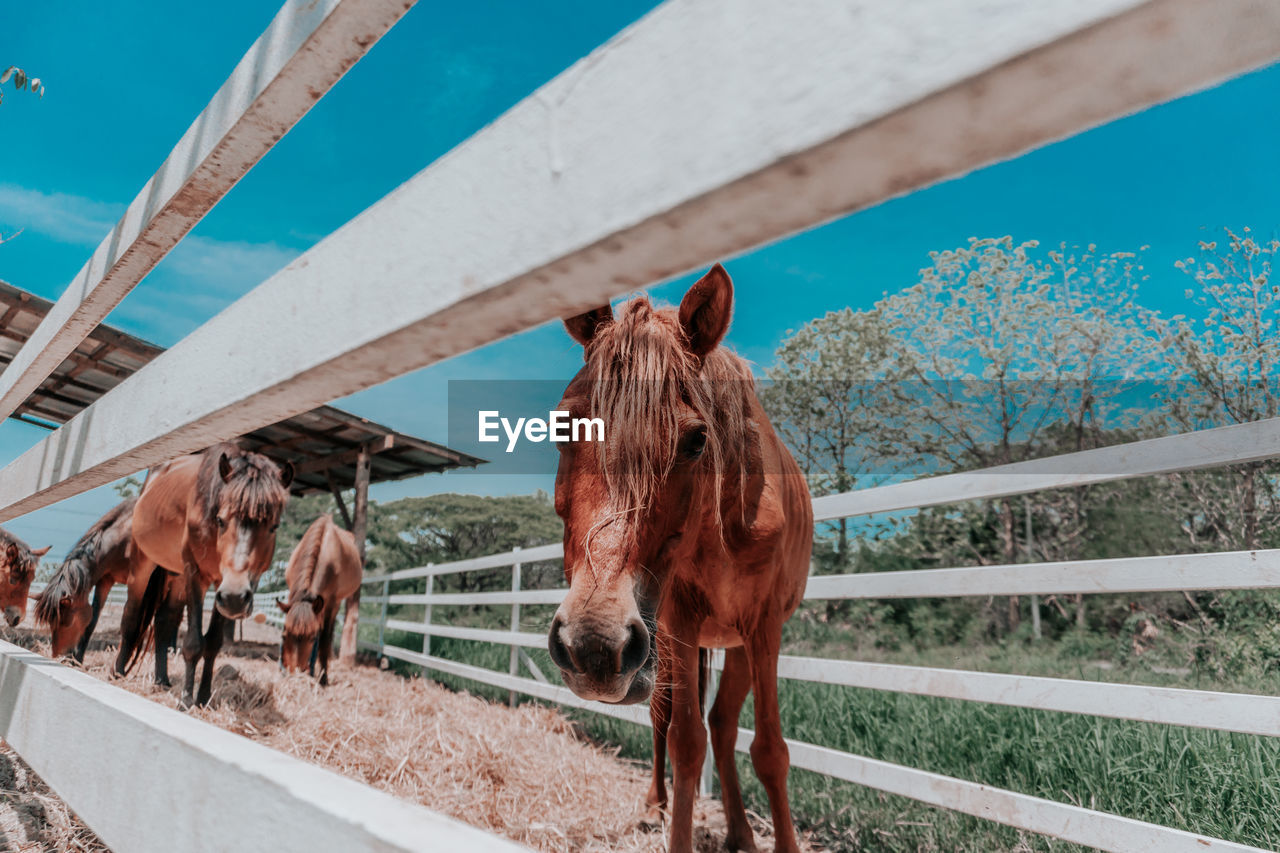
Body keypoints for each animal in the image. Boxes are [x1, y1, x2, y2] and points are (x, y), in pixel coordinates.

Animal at [120, 440, 289, 701]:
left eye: (274, 526)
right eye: (221, 520)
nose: (235, 597)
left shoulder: (222, 584)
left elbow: (213, 643)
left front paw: (203, 697)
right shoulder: (195, 574)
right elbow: (193, 643)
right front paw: (186, 700)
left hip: (177, 576)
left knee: (163, 620)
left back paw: (161, 680)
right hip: (143, 565)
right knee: (131, 615)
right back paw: (116, 673)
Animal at [275, 512, 360, 686]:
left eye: (311, 637)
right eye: (284, 635)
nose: (295, 674)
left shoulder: (330, 602)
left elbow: (323, 640)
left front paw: (323, 678)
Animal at [547, 262, 808, 845]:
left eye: (696, 441)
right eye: (561, 426)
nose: (593, 644)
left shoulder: (764, 627)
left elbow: (769, 751)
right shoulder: (679, 619)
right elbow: (686, 743)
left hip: (733, 644)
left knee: (724, 725)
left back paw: (740, 833)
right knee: (669, 721)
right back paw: (657, 805)